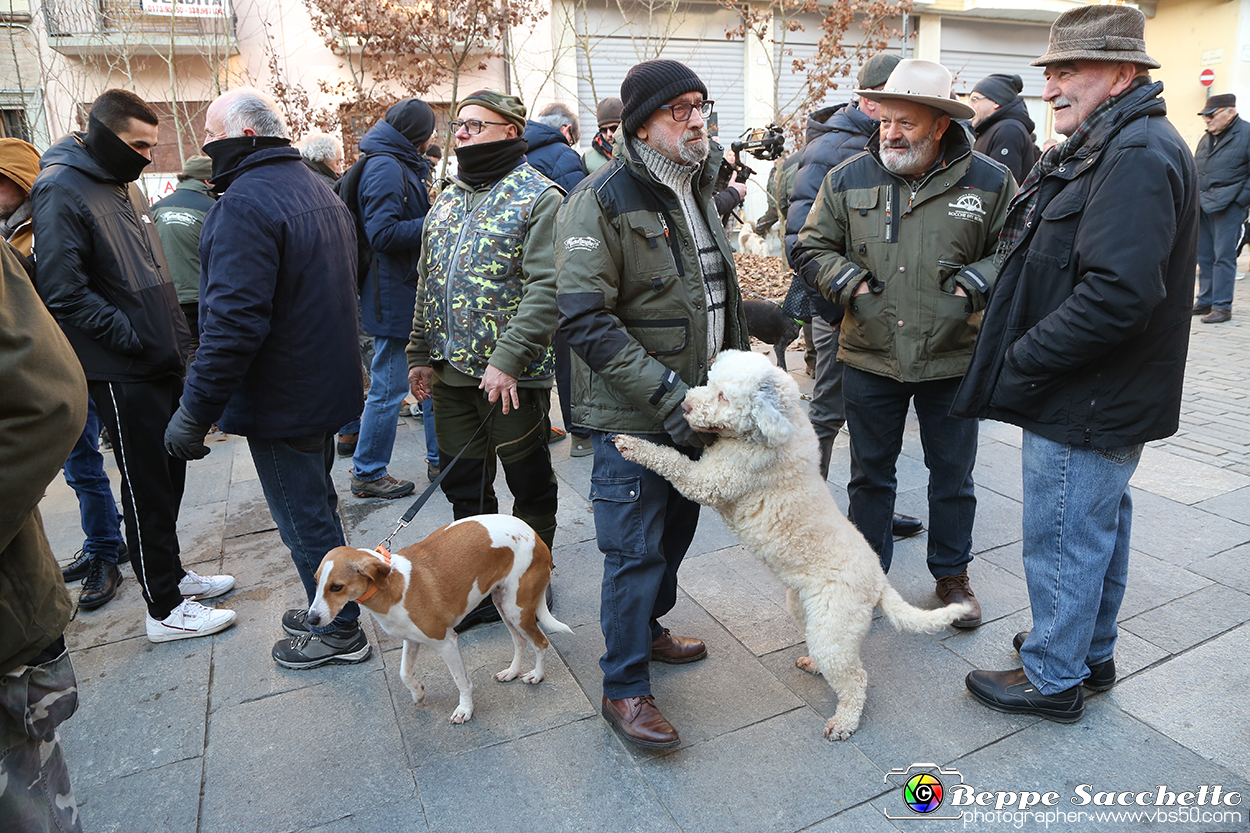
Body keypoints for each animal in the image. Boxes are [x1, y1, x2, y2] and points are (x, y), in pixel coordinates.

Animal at [307, 512, 572, 720]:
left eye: (336, 587)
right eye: (316, 581)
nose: (311, 621)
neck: (393, 585)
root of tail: (536, 536)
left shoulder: (446, 642)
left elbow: (461, 681)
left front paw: (465, 709)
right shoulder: (411, 639)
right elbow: (404, 673)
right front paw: (417, 692)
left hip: (517, 610)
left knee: (541, 642)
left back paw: (536, 675)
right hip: (504, 605)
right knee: (519, 642)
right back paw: (512, 672)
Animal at [610, 347, 970, 735]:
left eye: (723, 396)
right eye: (710, 382)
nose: (686, 406)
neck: (771, 430)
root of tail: (879, 582)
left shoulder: (711, 481)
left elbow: (671, 460)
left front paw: (631, 444)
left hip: (834, 625)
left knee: (855, 678)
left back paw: (844, 722)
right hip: (803, 607)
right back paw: (814, 666)